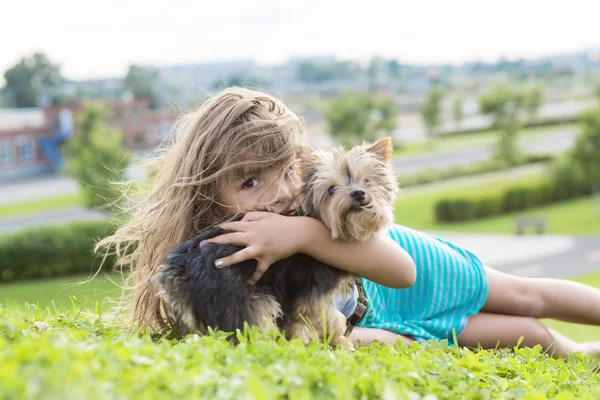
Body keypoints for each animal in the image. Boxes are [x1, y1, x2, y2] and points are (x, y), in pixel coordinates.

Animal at [152, 137, 398, 346]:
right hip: (238, 297)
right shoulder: (309, 294)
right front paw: (338, 339)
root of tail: (176, 271)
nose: (358, 193)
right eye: (332, 190)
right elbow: (331, 317)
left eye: (367, 181)